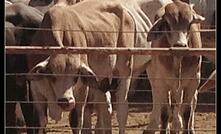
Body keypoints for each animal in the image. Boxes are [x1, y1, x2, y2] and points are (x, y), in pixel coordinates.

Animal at [143, 0, 205, 133]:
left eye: (189, 23)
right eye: (167, 24)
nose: (180, 45)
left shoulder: (193, 81)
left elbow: (187, 111)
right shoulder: (162, 82)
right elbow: (165, 113)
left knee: (189, 102)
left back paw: (183, 127)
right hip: (155, 78)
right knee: (159, 99)